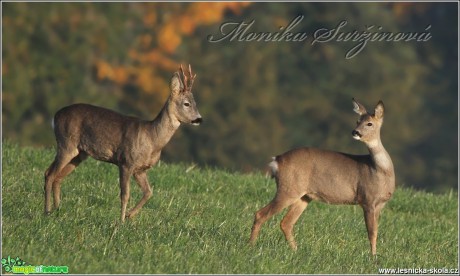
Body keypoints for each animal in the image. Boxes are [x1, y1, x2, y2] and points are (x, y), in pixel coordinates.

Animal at [45, 64, 202, 222]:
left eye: (196, 103)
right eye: (186, 103)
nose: (199, 119)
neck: (152, 140)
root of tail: (56, 115)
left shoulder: (140, 169)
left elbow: (149, 192)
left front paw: (129, 215)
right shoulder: (126, 161)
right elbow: (125, 194)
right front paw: (121, 221)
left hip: (79, 153)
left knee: (57, 177)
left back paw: (57, 209)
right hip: (66, 143)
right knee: (50, 174)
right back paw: (47, 211)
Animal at [250, 98, 398, 256]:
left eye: (369, 123)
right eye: (357, 121)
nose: (355, 132)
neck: (379, 169)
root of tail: (277, 161)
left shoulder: (380, 204)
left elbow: (375, 231)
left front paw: (374, 255)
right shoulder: (367, 199)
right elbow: (371, 233)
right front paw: (373, 257)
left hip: (304, 196)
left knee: (286, 222)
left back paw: (296, 250)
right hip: (288, 189)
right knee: (261, 214)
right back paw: (251, 246)